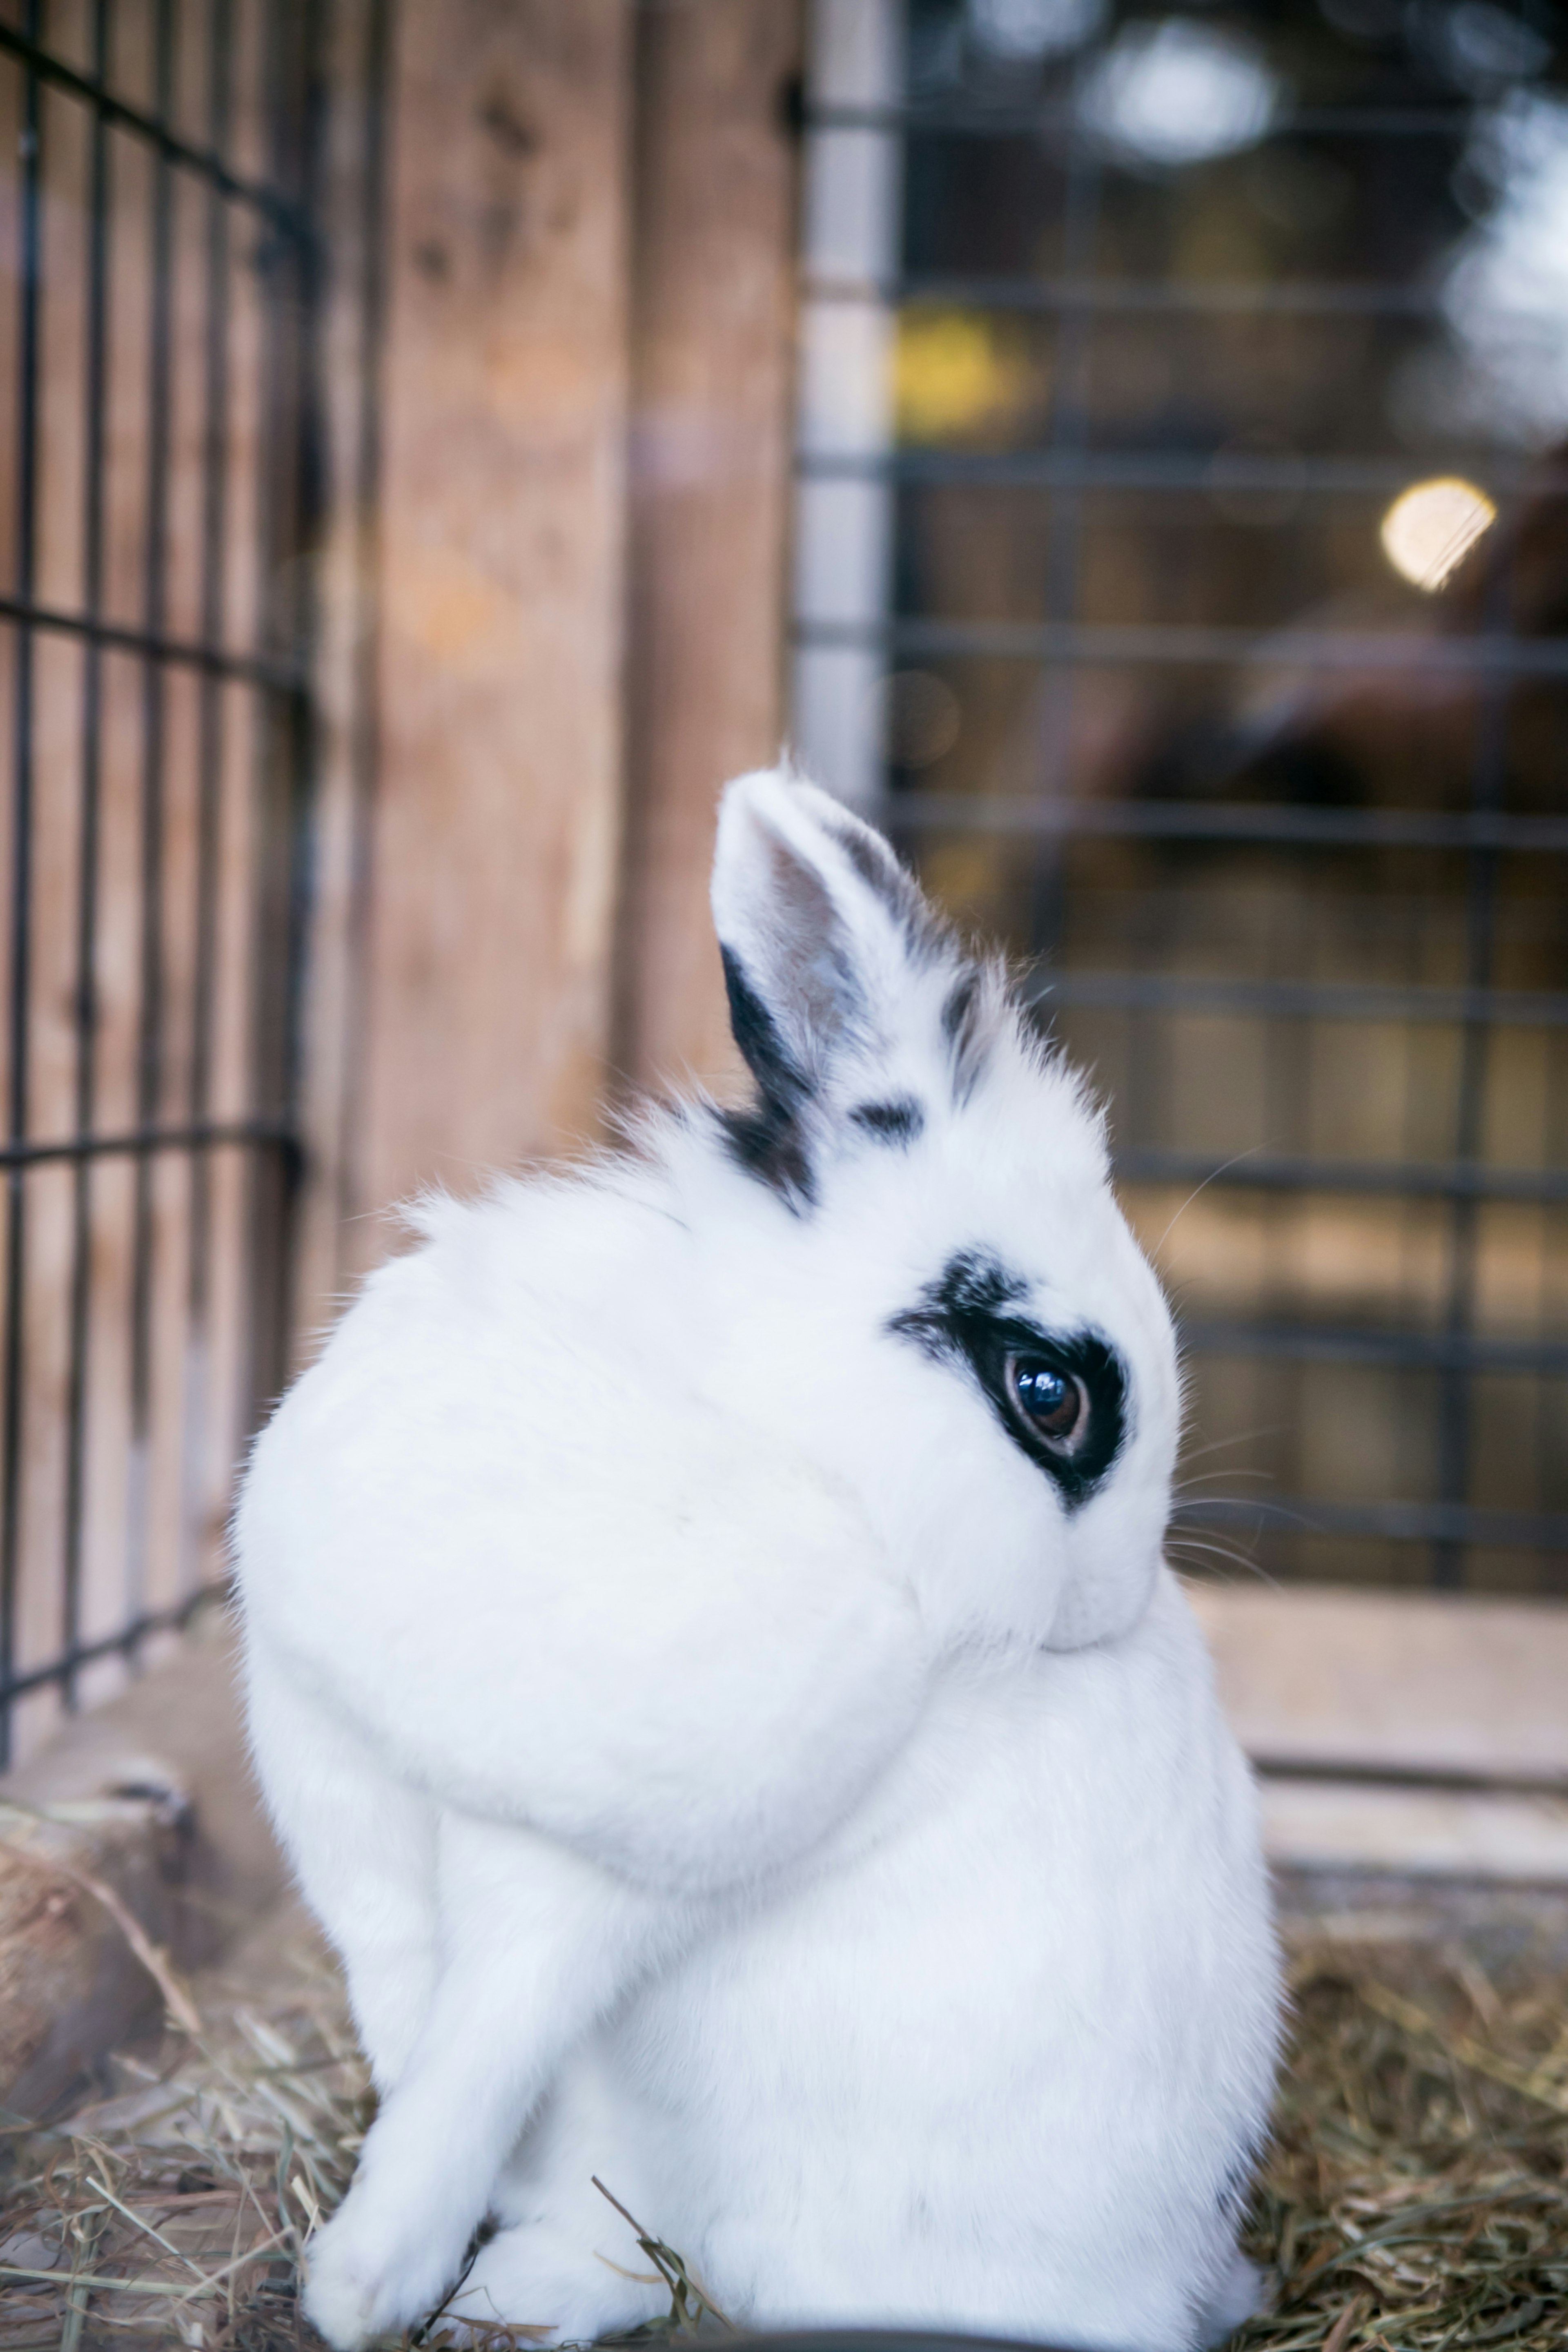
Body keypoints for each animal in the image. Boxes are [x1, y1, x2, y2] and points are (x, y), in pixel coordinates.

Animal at [236, 771, 1288, 2352]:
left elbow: (482, 2047)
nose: (1110, 1601)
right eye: (1050, 1392)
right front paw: (386, 2268)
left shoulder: (585, 1871)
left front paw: (362, 2280)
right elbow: (436, 2037)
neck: (758, 1406)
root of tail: (1175, 2280)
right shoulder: (349, 1803)